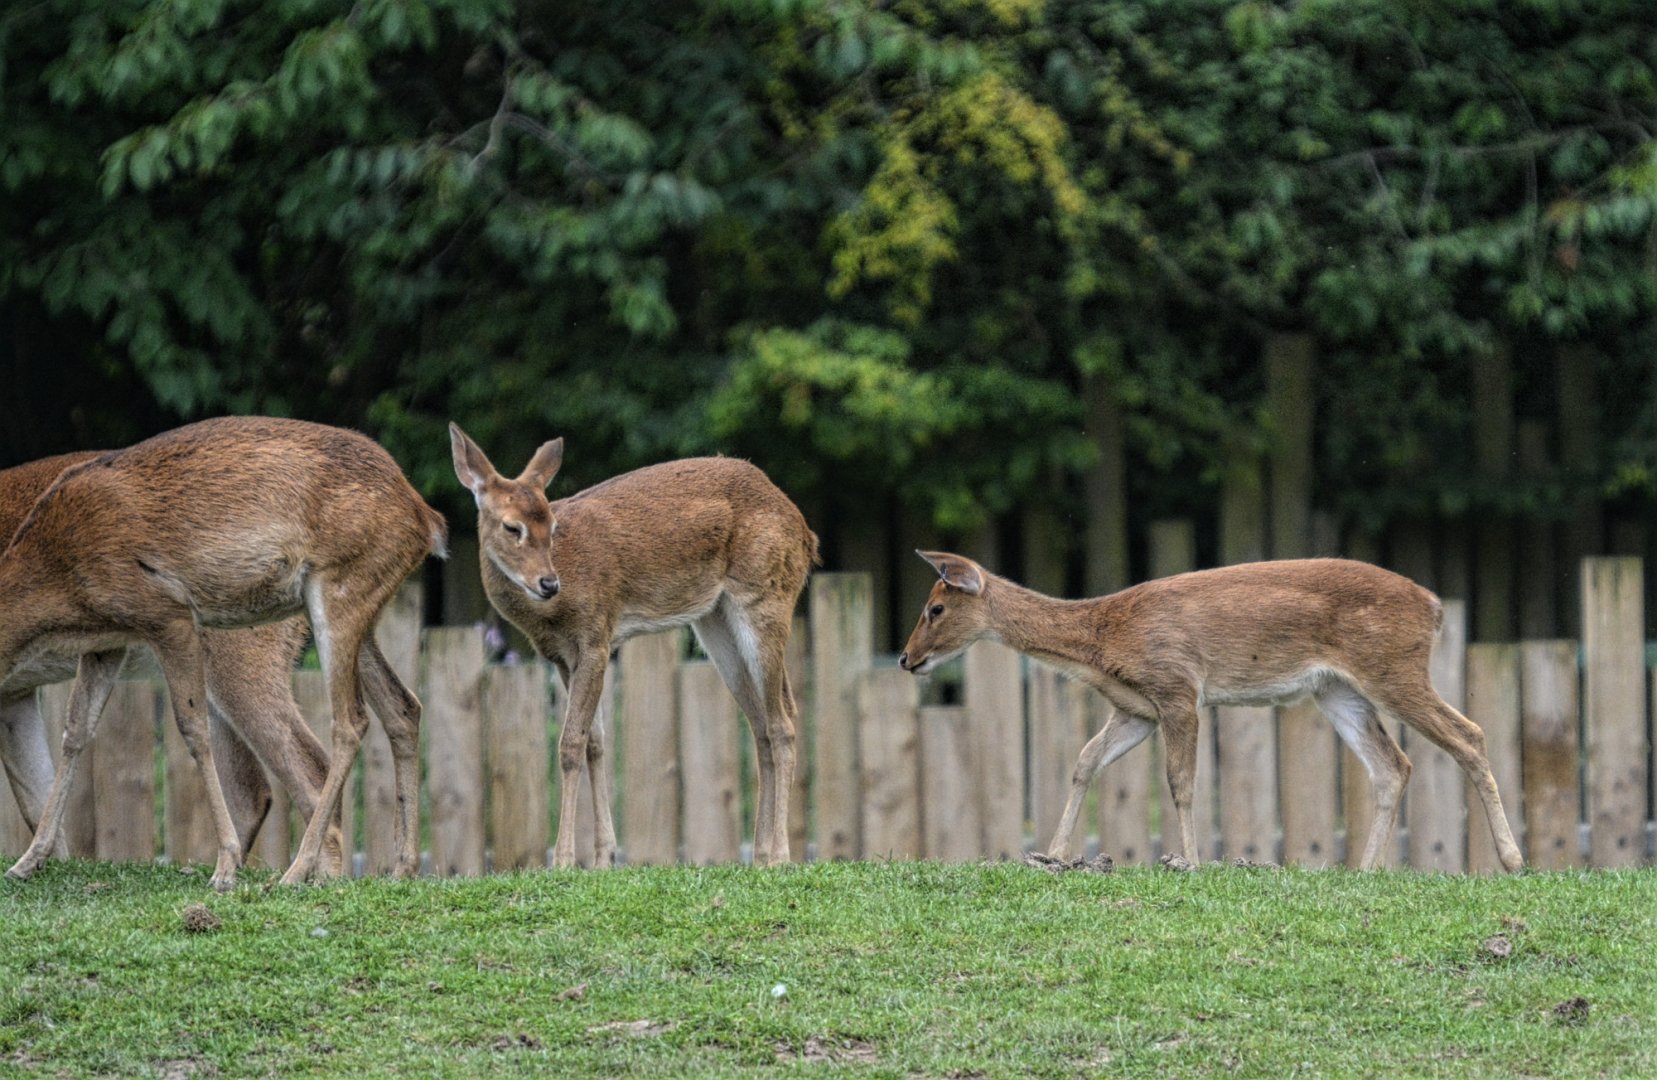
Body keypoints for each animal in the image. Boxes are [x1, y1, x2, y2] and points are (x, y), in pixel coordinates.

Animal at [0, 417, 446, 890]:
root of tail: (427, 518)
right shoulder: (109, 641)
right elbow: (74, 732)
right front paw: (28, 861)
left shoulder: (168, 614)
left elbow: (191, 729)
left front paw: (226, 866)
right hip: (357, 611)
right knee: (402, 707)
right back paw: (401, 867)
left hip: (328, 597)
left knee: (344, 726)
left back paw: (296, 872)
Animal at [449, 423, 818, 867]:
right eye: (511, 527)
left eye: (552, 526)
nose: (548, 582)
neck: (551, 614)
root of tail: (807, 534)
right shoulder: (562, 656)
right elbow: (595, 741)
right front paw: (603, 856)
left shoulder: (596, 635)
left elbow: (570, 743)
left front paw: (564, 859)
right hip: (716, 623)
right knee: (761, 723)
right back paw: (760, 854)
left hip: (765, 596)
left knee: (783, 721)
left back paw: (780, 854)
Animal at [898, 551, 1524, 873]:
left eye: (935, 608)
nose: (905, 658)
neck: (1102, 640)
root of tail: (1435, 607)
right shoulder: (1137, 709)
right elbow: (1084, 761)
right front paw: (1053, 856)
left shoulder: (1178, 687)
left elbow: (1181, 781)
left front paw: (1191, 862)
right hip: (1336, 689)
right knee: (1393, 765)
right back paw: (1364, 871)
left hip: (1394, 666)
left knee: (1469, 734)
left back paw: (1513, 860)